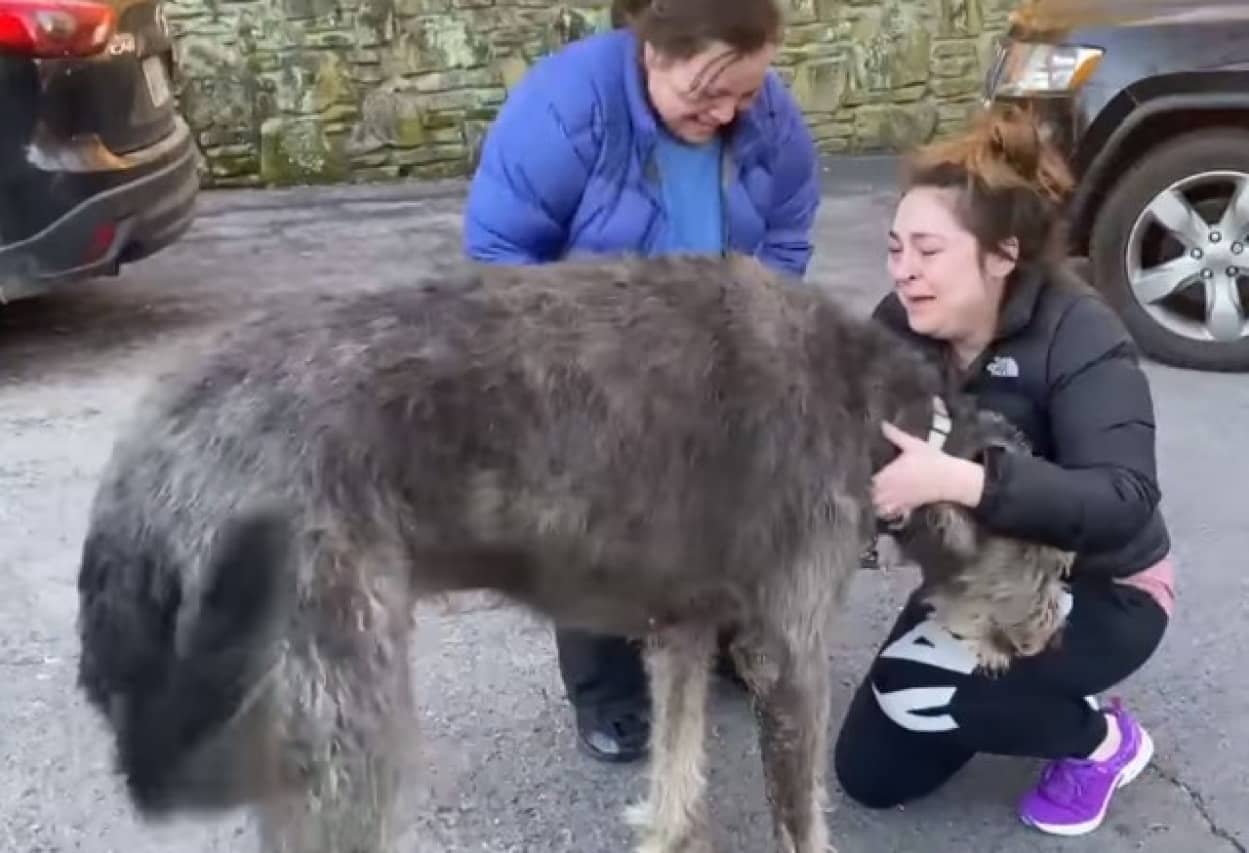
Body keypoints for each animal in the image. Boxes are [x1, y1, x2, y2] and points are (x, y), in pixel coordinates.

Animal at [75, 254, 1074, 853]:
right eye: (1059, 562)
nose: (1059, 634)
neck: (891, 423)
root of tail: (145, 455)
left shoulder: (681, 623)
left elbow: (676, 739)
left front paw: (665, 825)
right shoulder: (784, 652)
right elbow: (798, 810)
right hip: (342, 700)